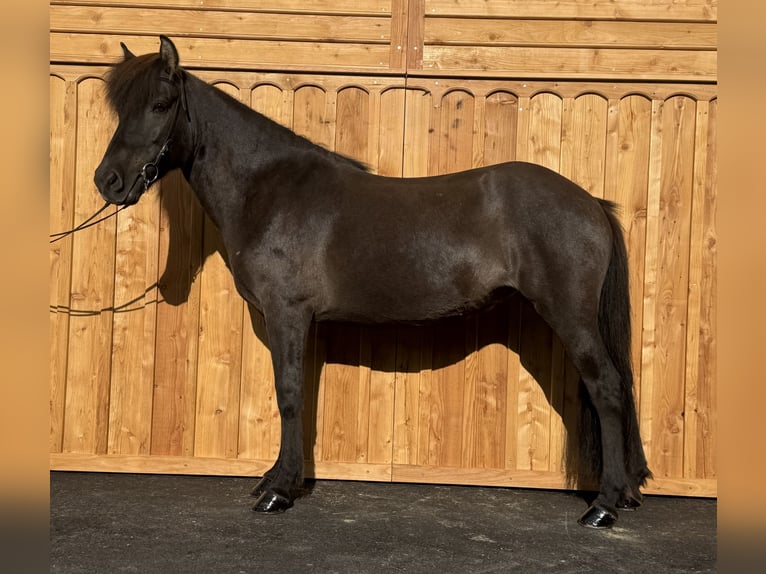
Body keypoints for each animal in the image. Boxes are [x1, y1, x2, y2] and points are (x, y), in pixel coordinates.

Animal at [94, 36, 651, 529]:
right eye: (122, 109)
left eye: (161, 104)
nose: (107, 181)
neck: (270, 192)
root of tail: (590, 202)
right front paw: (277, 478)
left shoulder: (288, 313)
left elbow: (289, 393)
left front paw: (279, 491)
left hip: (570, 316)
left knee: (606, 388)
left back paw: (602, 506)